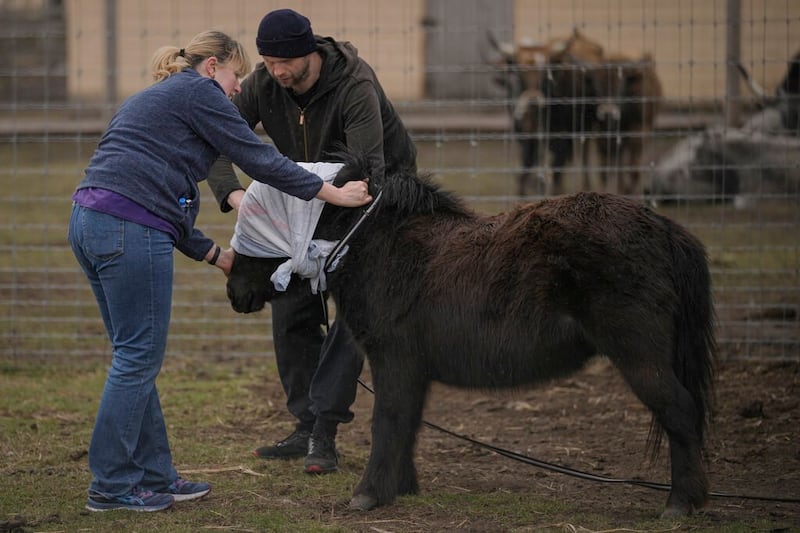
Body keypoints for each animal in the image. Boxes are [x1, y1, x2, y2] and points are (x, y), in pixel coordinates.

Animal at [227, 153, 720, 516]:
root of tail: (664, 228)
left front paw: (368, 494)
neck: (378, 245)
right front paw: (400, 488)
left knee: (680, 411)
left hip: (640, 357)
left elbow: (387, 421)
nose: (234, 291)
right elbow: (406, 423)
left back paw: (680, 503)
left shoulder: (394, 362)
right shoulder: (412, 371)